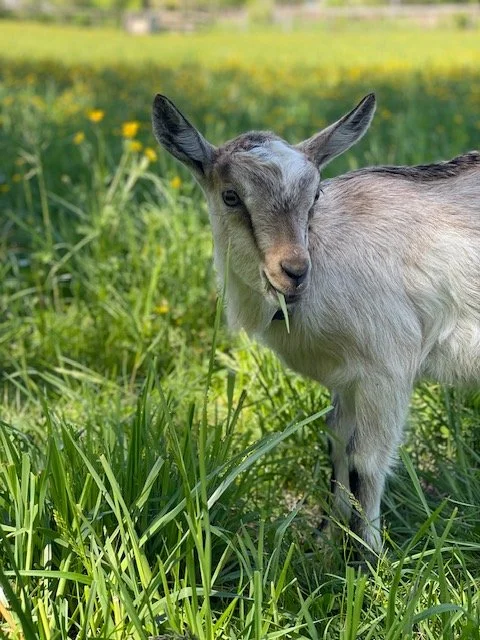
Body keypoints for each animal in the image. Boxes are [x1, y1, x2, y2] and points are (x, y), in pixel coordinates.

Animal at [152, 92, 480, 554]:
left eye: (316, 194)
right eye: (231, 196)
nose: (293, 270)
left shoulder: (387, 368)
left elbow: (367, 460)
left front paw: (369, 557)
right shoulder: (347, 378)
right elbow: (336, 445)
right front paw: (327, 540)